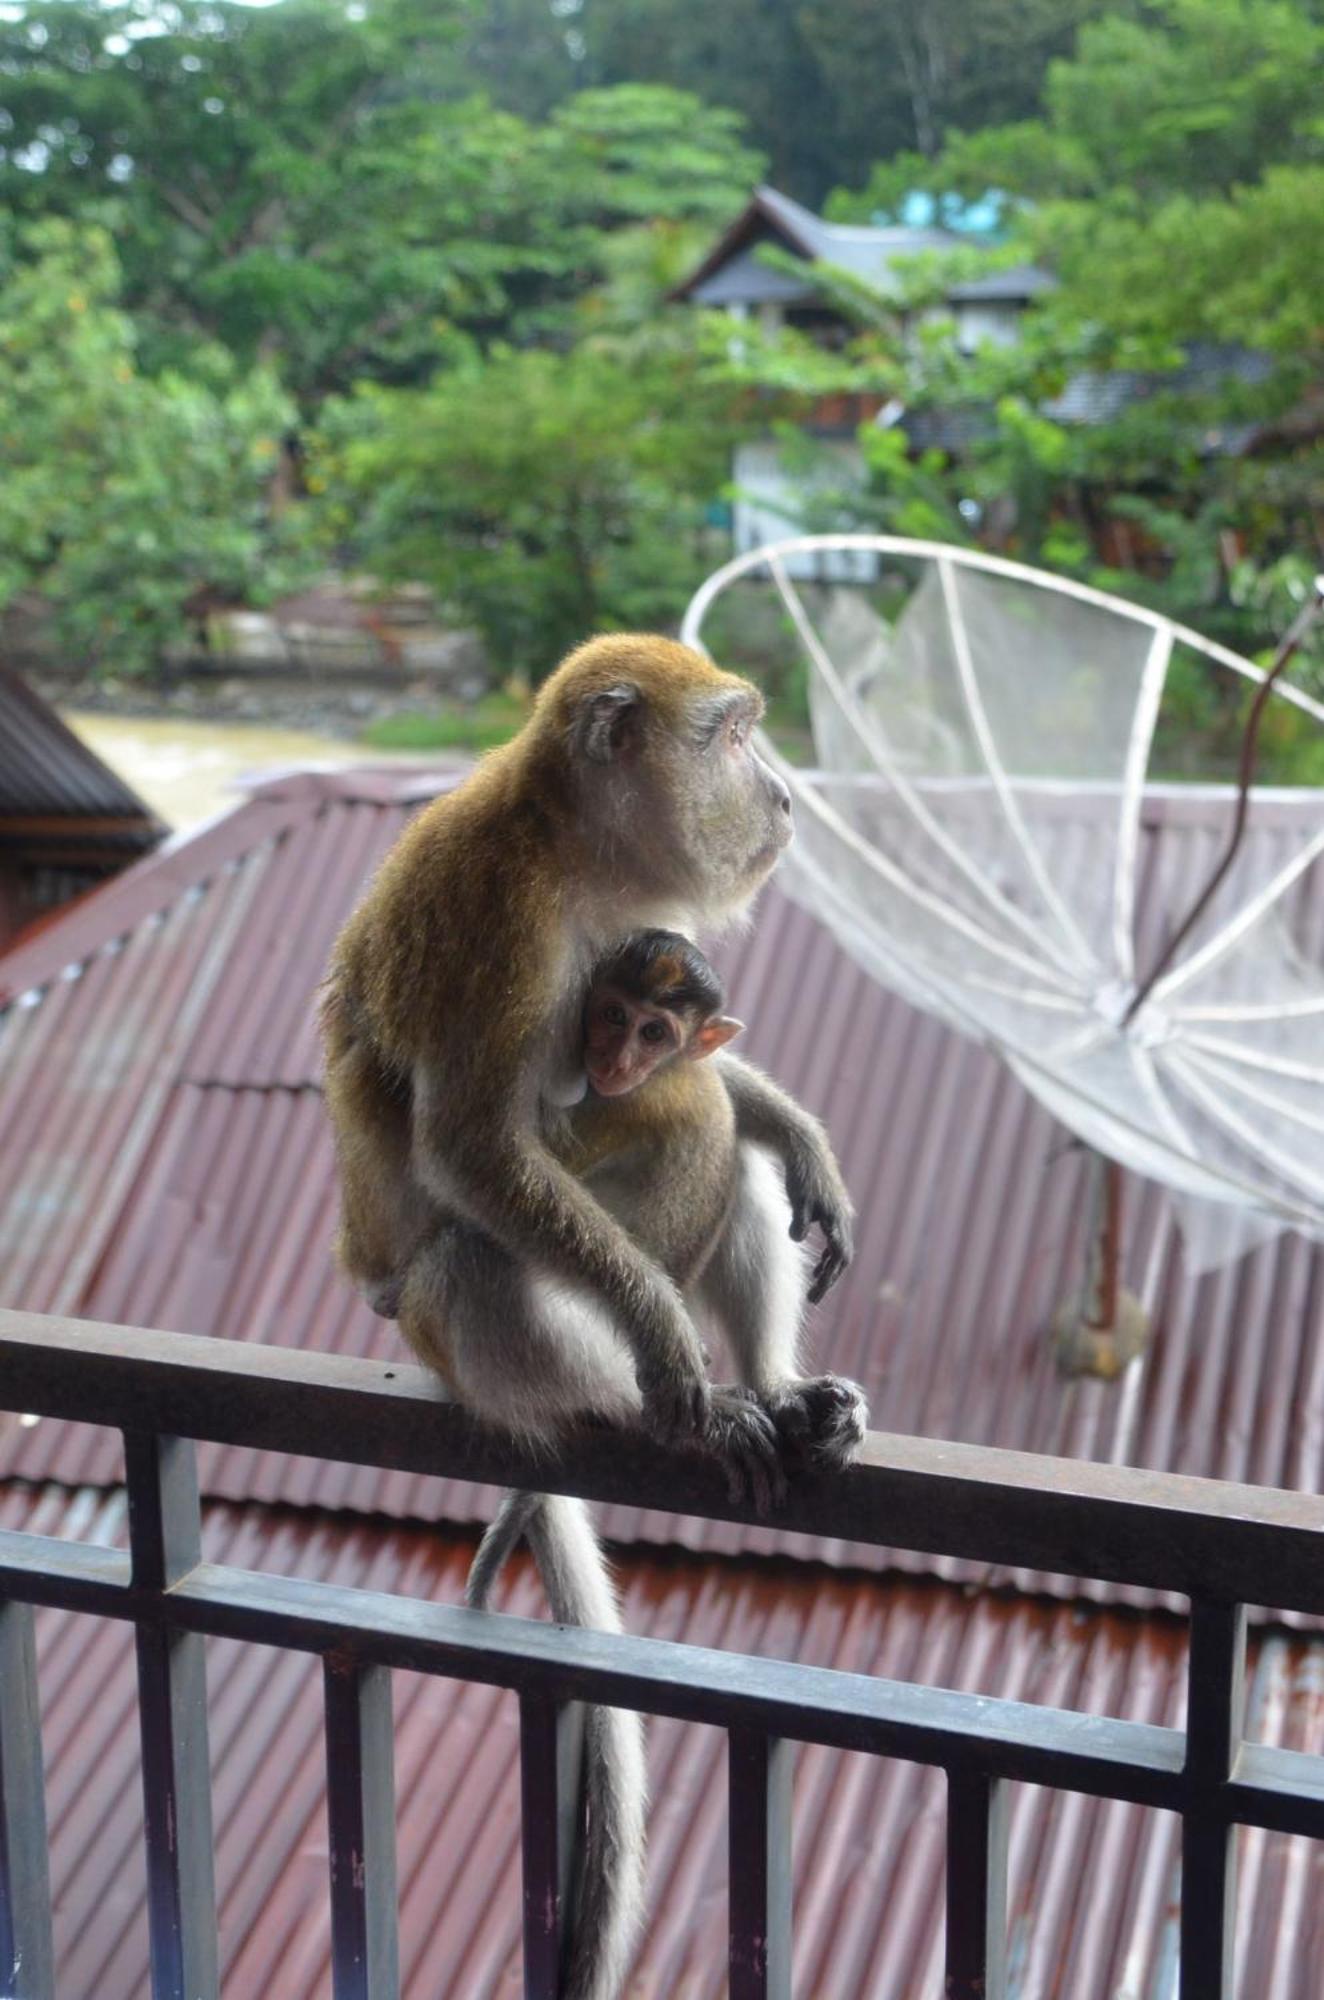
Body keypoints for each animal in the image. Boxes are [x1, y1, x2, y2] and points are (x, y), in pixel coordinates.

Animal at [322, 636, 860, 2000]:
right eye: (735, 734)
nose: (784, 794)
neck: (564, 846)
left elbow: (708, 1078)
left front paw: (800, 1134)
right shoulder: (500, 922)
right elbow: (475, 1145)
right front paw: (671, 1354)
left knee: (711, 1139)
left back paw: (781, 1391)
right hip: (447, 1323)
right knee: (489, 1254)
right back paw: (654, 1402)